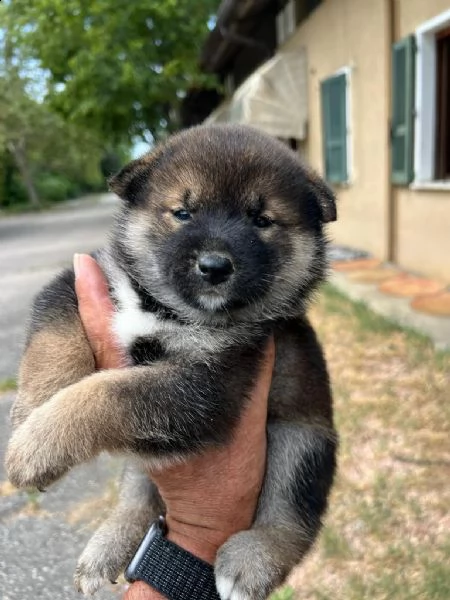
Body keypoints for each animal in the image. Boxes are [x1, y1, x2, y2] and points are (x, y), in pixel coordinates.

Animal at [6, 124, 338, 596]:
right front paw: (30, 412)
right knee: (137, 496)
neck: (165, 309)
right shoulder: (80, 281)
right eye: (183, 212)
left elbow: (106, 394)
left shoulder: (206, 386)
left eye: (261, 220)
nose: (215, 266)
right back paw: (107, 545)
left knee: (292, 518)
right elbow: (54, 342)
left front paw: (39, 445)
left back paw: (254, 560)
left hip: (302, 441)